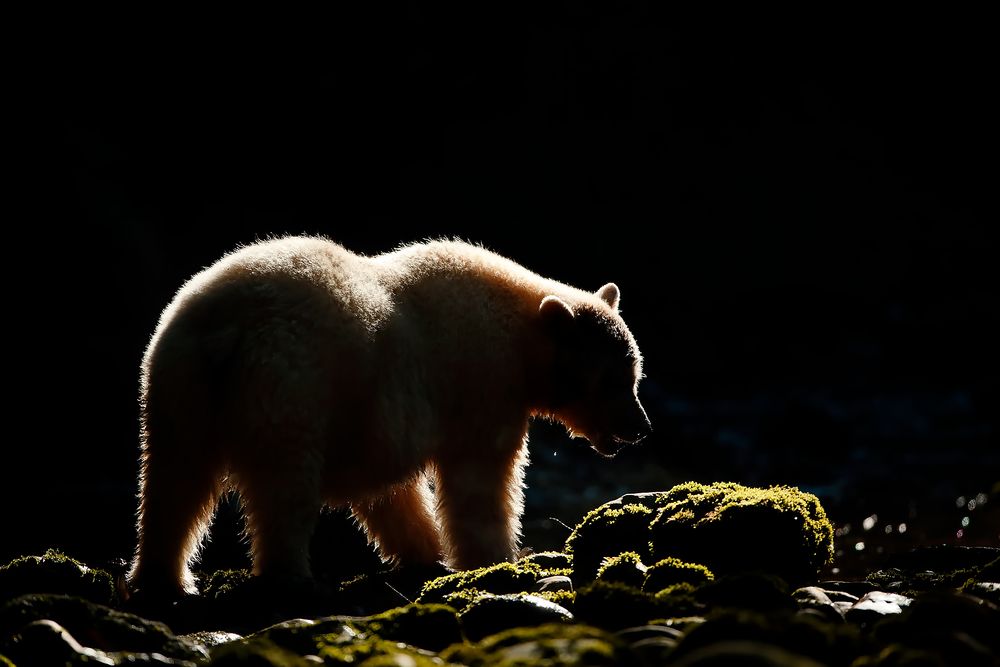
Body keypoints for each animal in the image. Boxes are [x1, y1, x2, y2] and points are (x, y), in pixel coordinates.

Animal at [127, 236, 650, 596]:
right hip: (291, 383)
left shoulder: (375, 414)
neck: (521, 331)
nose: (641, 428)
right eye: (613, 380)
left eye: (635, 372)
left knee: (173, 477)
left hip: (177, 380)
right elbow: (479, 480)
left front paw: (428, 554)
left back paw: (162, 577)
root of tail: (227, 329)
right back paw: (291, 575)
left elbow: (389, 491)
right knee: (282, 483)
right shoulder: (479, 382)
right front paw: (498, 558)